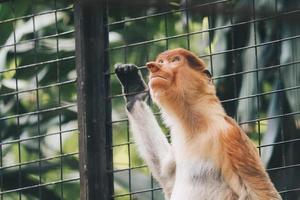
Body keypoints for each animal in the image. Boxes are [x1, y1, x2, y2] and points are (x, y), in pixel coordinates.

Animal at [115, 47, 282, 199]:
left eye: (175, 60)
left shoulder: (229, 134)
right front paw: (134, 91)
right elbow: (167, 176)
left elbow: (261, 193)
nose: (154, 67)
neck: (195, 123)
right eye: (161, 61)